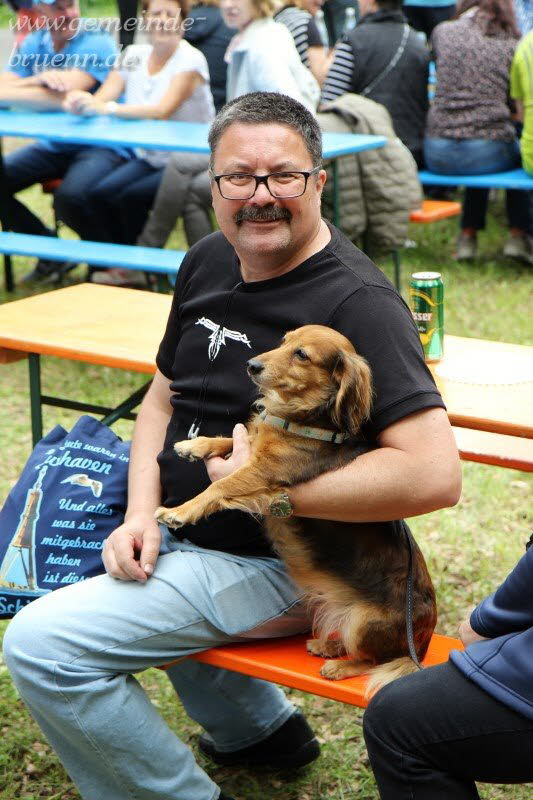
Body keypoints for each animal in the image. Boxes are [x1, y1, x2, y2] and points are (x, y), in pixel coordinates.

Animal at [157, 324, 436, 692]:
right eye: (283, 342)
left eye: (301, 354)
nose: (252, 365)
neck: (304, 418)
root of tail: (423, 643)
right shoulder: (256, 449)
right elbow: (237, 437)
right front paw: (196, 445)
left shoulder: (263, 473)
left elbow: (219, 485)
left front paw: (180, 511)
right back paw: (330, 645)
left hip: (366, 621)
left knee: (376, 659)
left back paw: (341, 666)